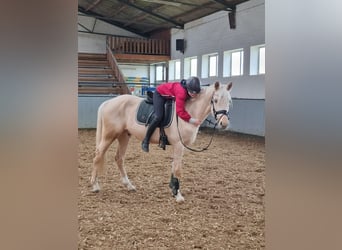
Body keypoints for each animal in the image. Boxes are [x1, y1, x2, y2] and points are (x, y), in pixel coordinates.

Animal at [90, 81, 232, 202]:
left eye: (229, 101)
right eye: (215, 100)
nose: (224, 124)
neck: (188, 111)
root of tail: (108, 102)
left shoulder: (179, 146)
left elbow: (173, 166)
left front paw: (173, 189)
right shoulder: (178, 145)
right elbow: (177, 169)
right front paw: (178, 195)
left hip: (124, 136)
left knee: (119, 158)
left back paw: (129, 185)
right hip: (109, 135)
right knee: (98, 156)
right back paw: (95, 185)